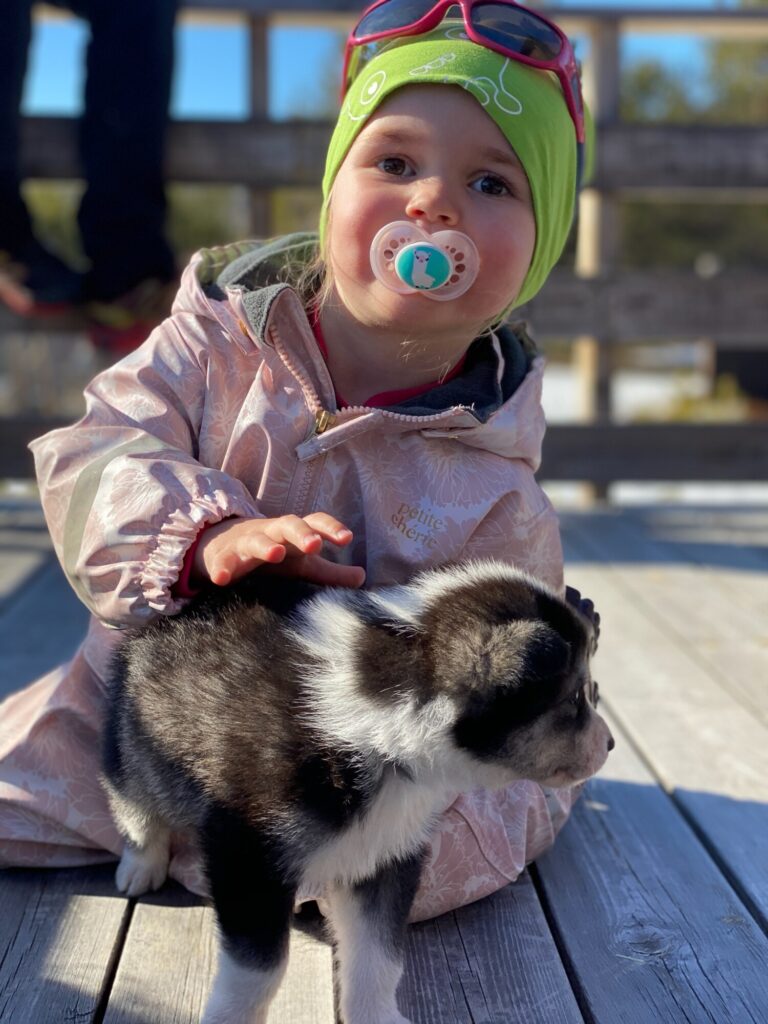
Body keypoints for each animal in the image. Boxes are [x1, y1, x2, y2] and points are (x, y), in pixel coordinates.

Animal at [102, 561, 618, 1024]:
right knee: (134, 804)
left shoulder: (385, 854)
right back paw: (139, 868)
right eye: (575, 699)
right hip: (133, 746)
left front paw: (377, 1016)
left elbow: (378, 958)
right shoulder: (248, 855)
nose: (611, 744)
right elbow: (258, 971)